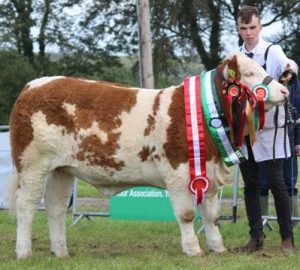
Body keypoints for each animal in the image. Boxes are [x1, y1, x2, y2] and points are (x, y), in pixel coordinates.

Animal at [7, 52, 288, 260]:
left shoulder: (207, 170)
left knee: (55, 206)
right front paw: (193, 249)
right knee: (27, 204)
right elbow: (187, 214)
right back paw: (24, 252)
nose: (285, 92)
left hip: (62, 169)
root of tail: (32, 86)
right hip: (32, 164)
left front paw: (218, 247)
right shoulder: (178, 172)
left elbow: (211, 214)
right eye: (249, 74)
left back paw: (61, 252)